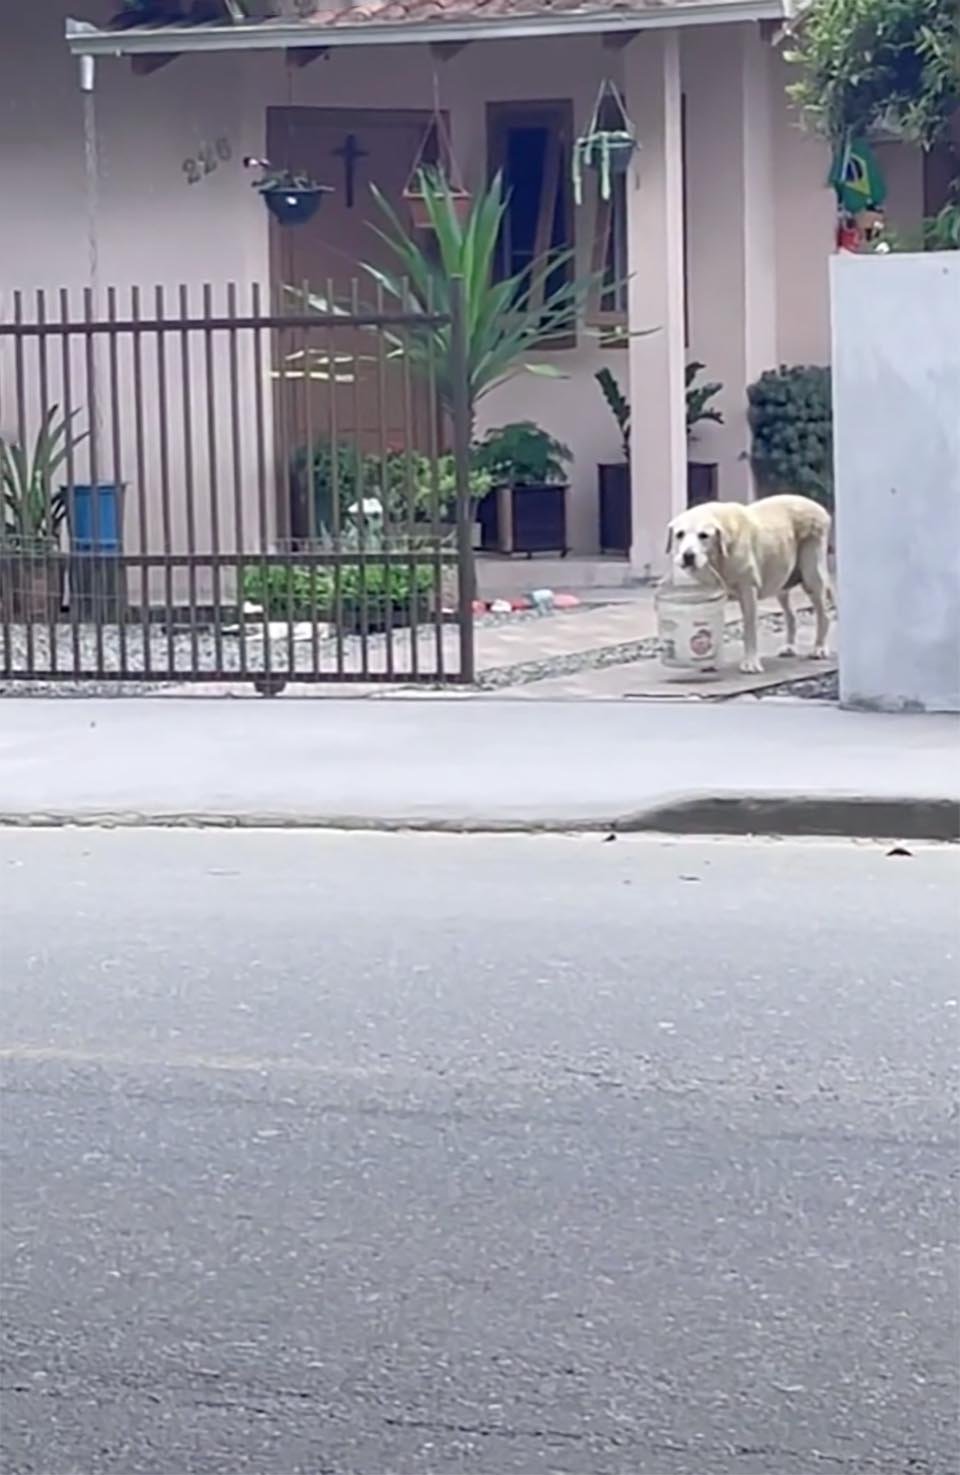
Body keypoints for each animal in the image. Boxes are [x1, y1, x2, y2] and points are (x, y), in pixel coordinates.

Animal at [669, 495, 831, 678]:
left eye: (703, 535)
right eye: (679, 534)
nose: (688, 555)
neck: (718, 557)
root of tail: (816, 505)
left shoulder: (748, 590)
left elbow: (750, 629)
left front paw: (751, 663)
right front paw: (709, 663)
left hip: (812, 575)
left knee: (824, 615)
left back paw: (819, 648)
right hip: (781, 580)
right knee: (791, 614)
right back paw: (789, 647)